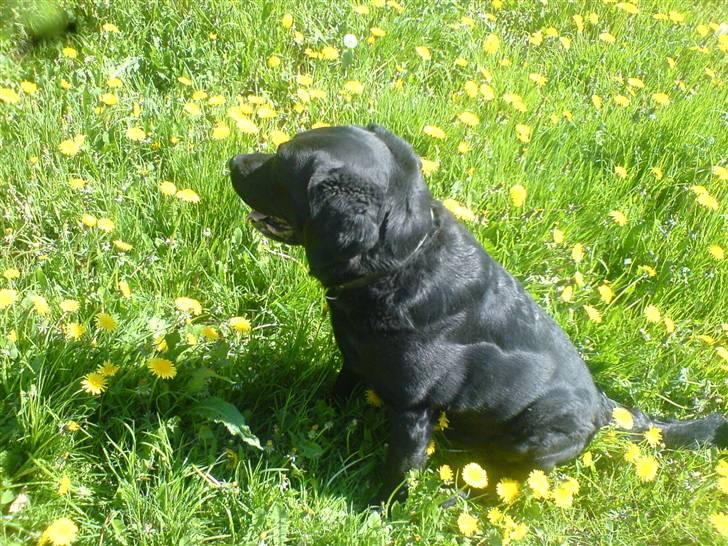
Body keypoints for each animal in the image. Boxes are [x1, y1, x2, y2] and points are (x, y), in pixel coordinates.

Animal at [230, 123, 724, 502]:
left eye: (280, 162)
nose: (233, 160)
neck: (400, 260)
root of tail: (605, 409)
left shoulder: (413, 409)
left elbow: (401, 472)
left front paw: (381, 510)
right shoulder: (353, 362)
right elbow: (333, 394)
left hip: (535, 437)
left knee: (512, 481)